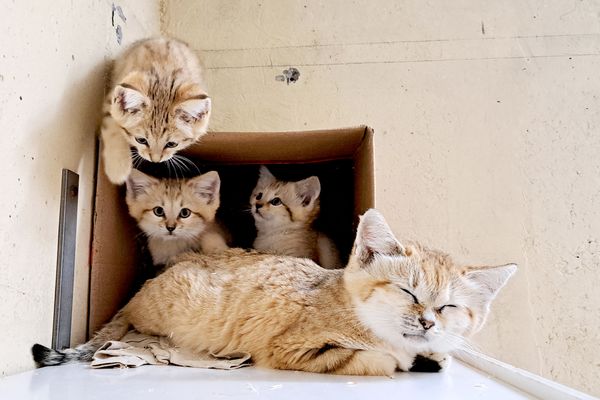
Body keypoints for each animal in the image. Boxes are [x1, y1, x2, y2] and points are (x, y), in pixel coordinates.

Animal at [31, 209, 516, 376]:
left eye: (448, 306)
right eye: (407, 292)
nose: (427, 321)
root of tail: (137, 293)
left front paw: (433, 354)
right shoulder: (295, 349)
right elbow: (375, 360)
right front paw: (406, 359)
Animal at [103, 36, 213, 184]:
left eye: (172, 144)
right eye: (141, 140)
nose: (155, 160)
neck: (163, 78)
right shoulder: (110, 100)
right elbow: (112, 127)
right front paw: (118, 168)